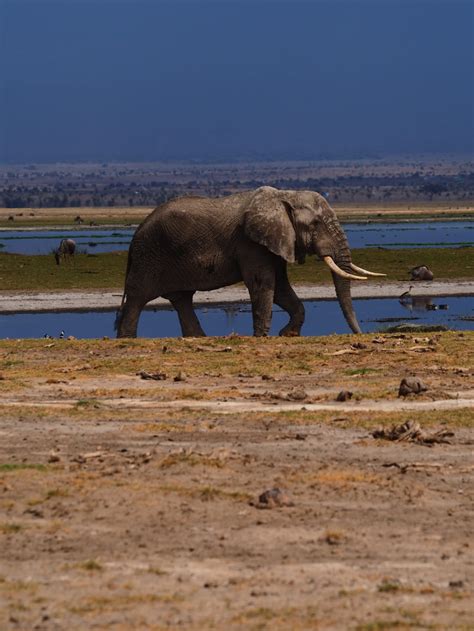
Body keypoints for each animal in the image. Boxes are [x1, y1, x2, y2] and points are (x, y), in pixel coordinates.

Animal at [115, 186, 386, 338]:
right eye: (316, 224)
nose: (360, 335)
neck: (285, 196)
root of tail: (135, 234)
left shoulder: (275, 242)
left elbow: (281, 288)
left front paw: (288, 334)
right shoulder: (250, 243)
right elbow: (263, 284)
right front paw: (262, 337)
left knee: (182, 300)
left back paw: (199, 338)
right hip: (149, 255)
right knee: (138, 299)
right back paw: (127, 339)